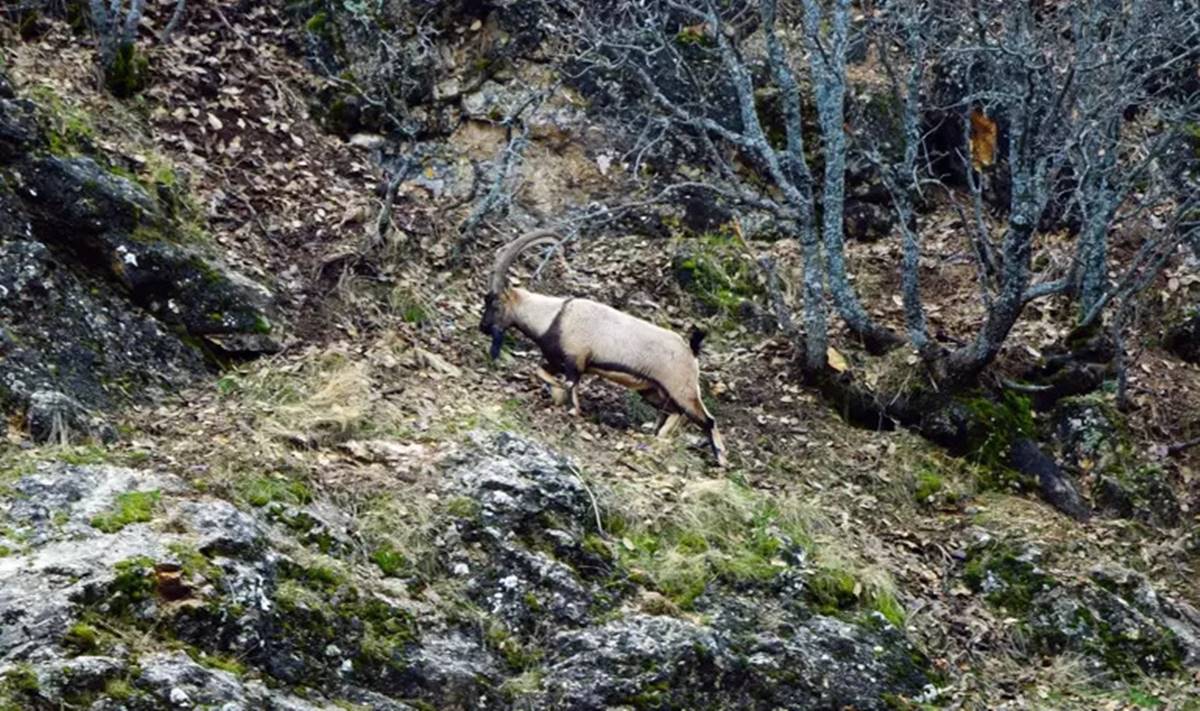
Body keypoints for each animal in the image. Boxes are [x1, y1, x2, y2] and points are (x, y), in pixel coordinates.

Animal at [480, 230, 729, 468]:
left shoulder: (574, 361)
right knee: (675, 413)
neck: (555, 316)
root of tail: (691, 351)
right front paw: (561, 401)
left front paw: (574, 409)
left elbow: (569, 383)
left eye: (494, 302)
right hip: (653, 391)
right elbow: (543, 373)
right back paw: (658, 437)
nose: (483, 327)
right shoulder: (555, 362)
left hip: (682, 389)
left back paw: (721, 460)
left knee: (707, 419)